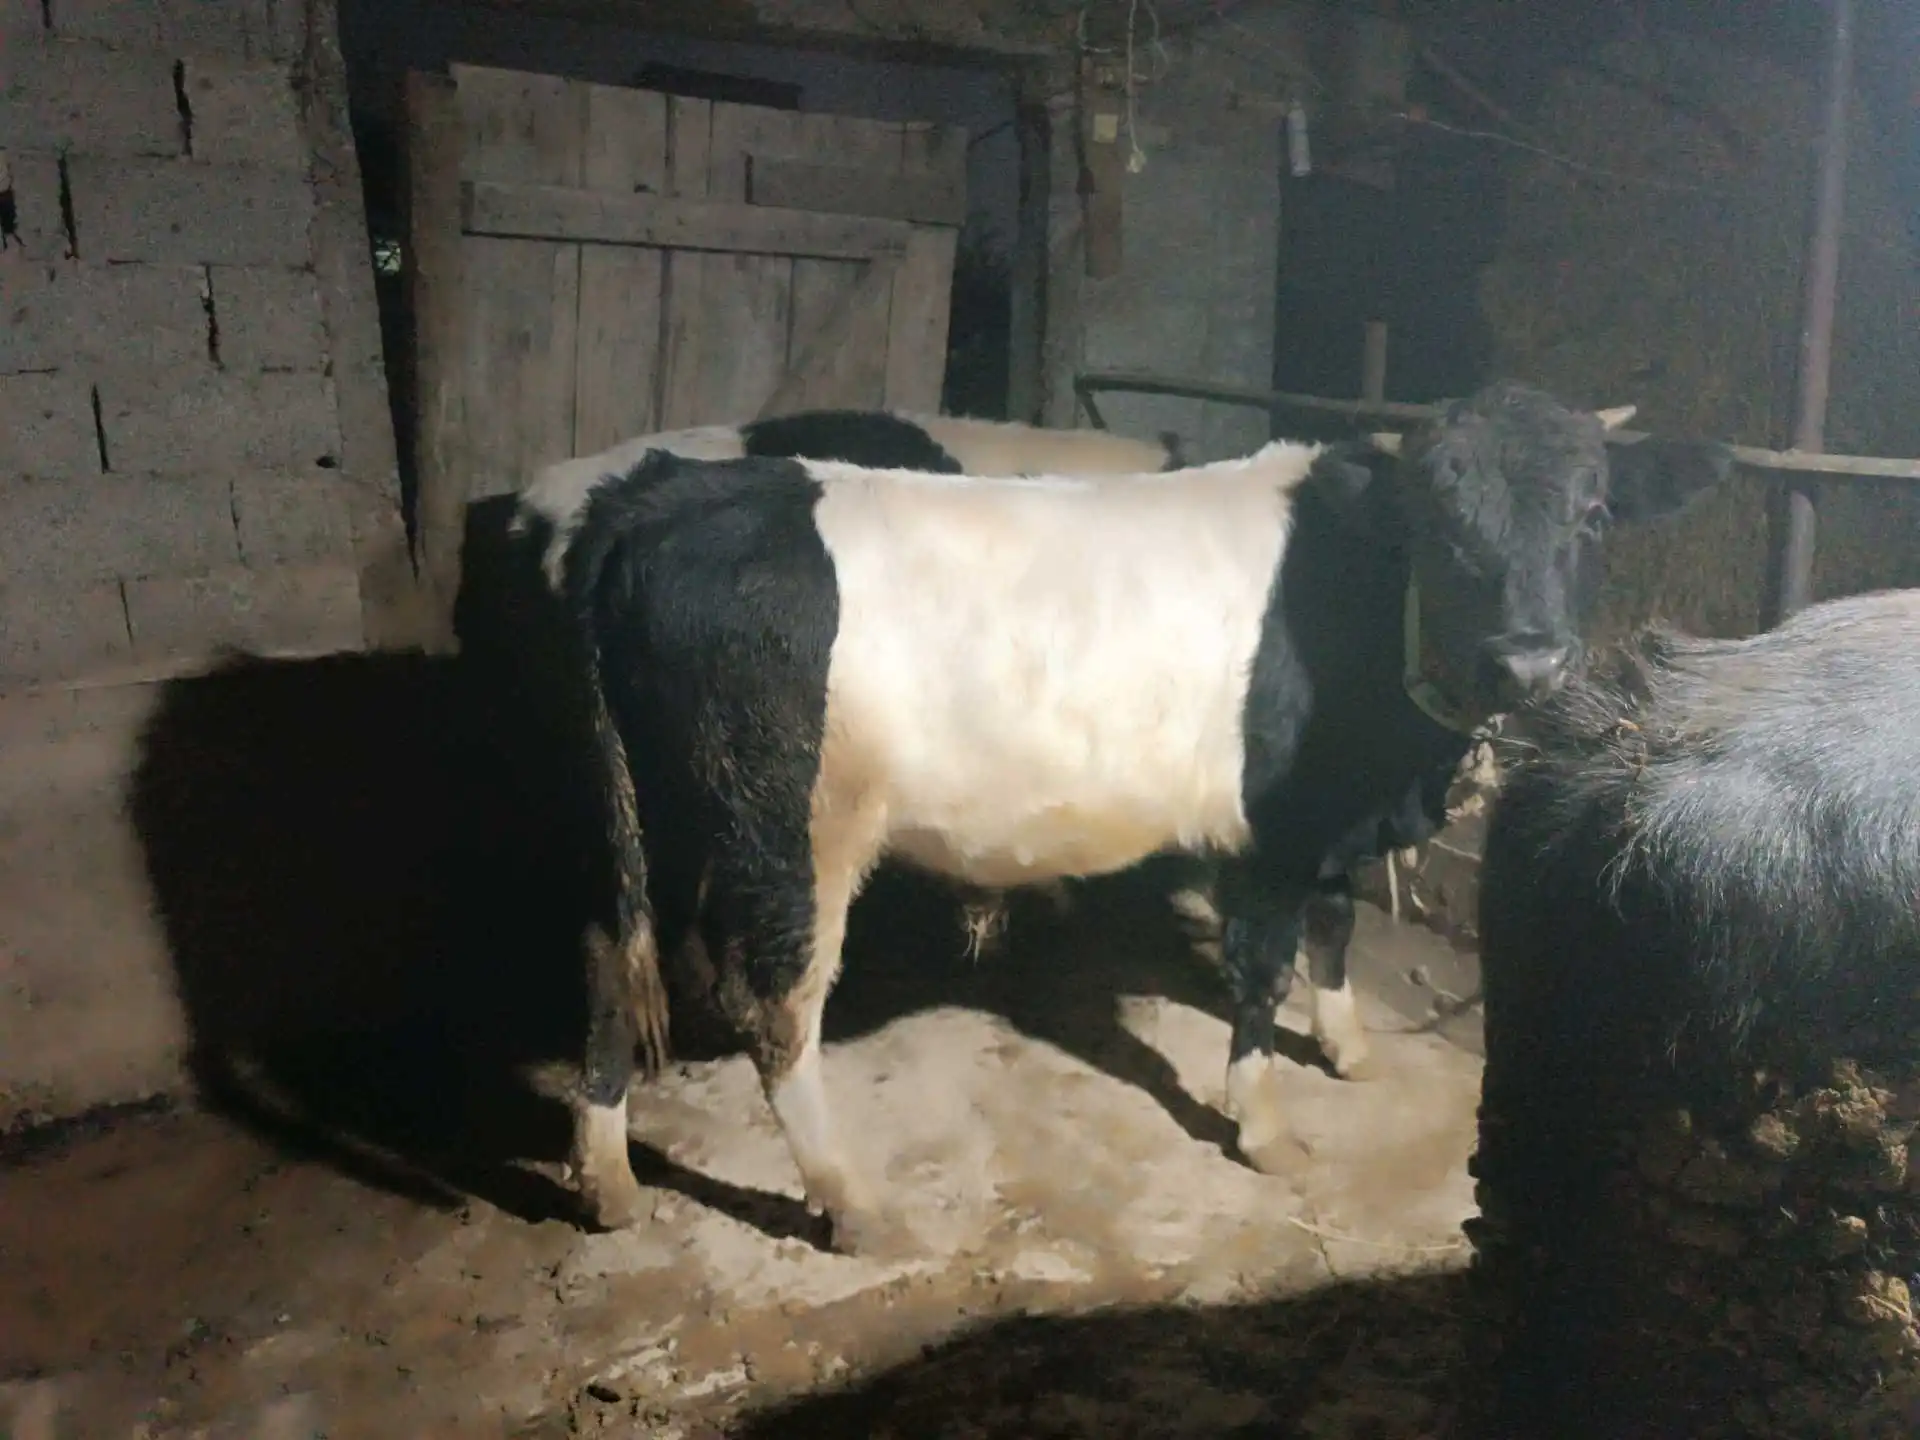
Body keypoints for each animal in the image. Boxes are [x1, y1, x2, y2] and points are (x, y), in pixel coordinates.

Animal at [556, 380, 1733, 1254]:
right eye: (1439, 526)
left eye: (1592, 514)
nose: (1528, 662)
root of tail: (661, 494)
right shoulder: (1276, 826)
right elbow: (1262, 972)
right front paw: (1263, 1126)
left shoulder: (1333, 818)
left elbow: (1338, 925)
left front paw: (1348, 1047)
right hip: (789, 828)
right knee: (775, 1007)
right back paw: (849, 1197)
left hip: (649, 814)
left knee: (610, 964)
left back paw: (608, 1178)